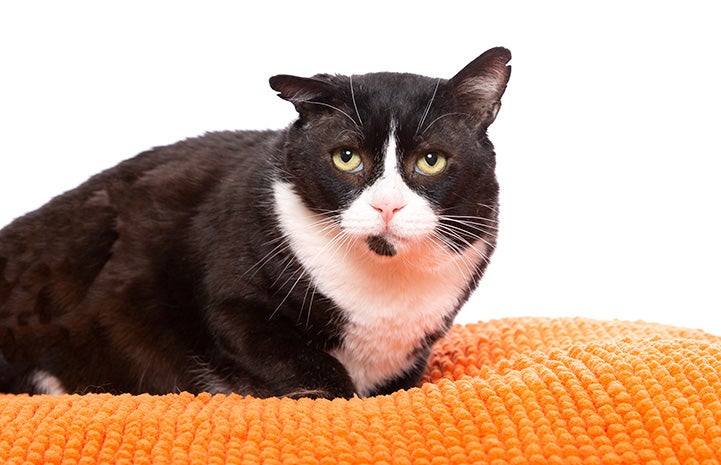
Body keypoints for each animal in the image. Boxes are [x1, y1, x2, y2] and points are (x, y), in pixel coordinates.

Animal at [0, 46, 510, 396]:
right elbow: (310, 367)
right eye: (346, 157)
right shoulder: (231, 304)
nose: (387, 206)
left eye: (431, 160)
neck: (383, 286)